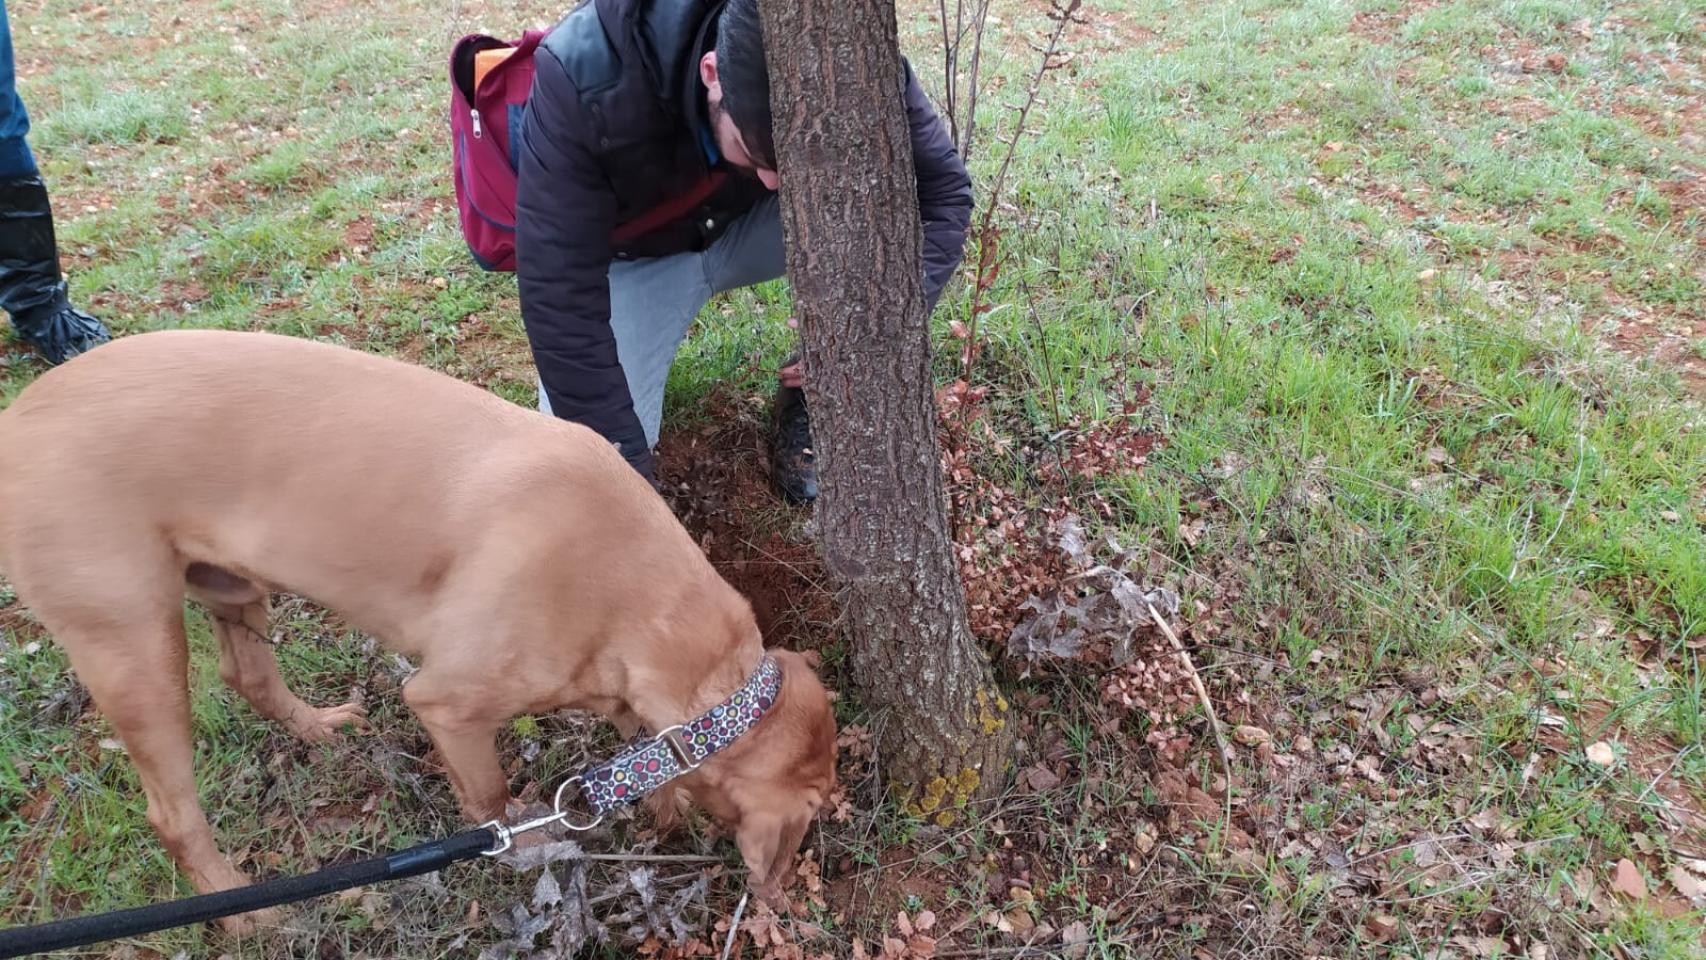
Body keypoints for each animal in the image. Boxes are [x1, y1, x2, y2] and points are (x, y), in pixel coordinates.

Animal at [0, 329, 839, 934]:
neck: (636, 588)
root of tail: (17, 420)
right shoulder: (449, 704)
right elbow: (492, 799)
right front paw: (525, 842)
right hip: (134, 648)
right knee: (172, 814)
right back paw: (242, 911)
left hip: (229, 587)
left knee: (248, 677)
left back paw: (316, 727)